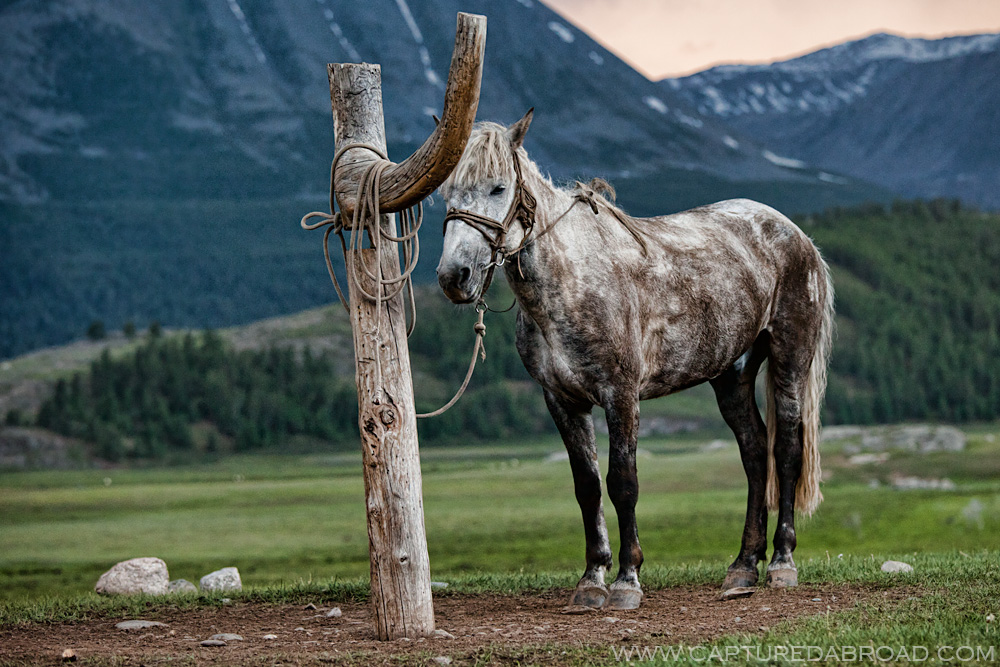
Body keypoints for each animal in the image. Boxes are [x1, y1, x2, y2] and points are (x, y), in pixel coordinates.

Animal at [435, 109, 834, 611]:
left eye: (498, 187)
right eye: (445, 193)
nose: (454, 276)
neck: (571, 282)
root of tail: (797, 235)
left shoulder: (620, 396)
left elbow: (623, 482)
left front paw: (627, 581)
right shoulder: (562, 401)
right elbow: (587, 487)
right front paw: (591, 580)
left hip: (789, 361)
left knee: (786, 452)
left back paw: (781, 562)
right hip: (732, 376)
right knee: (754, 452)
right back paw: (743, 567)